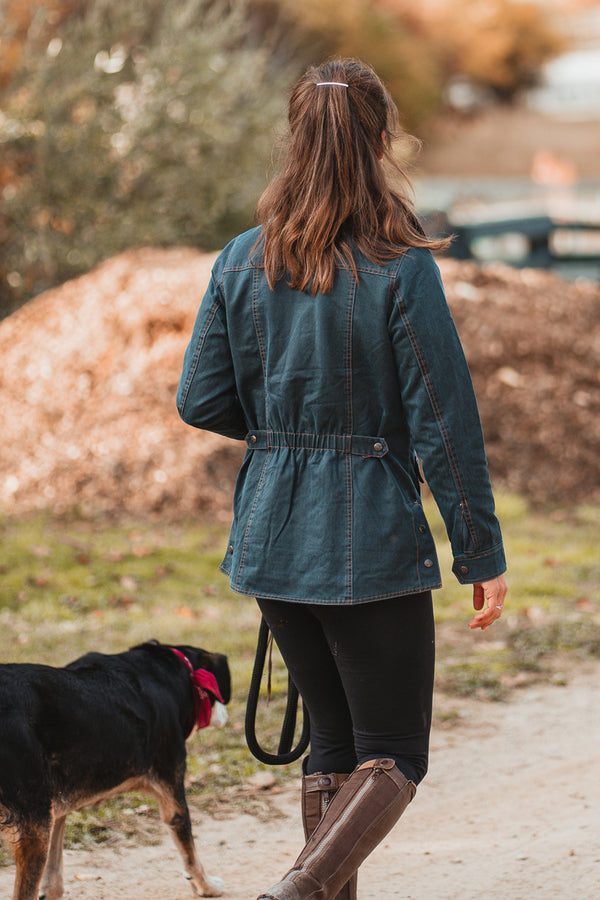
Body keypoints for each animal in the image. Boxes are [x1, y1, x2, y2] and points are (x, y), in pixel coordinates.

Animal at [0, 640, 231, 900]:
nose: (227, 714)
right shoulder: (172, 785)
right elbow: (190, 852)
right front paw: (206, 886)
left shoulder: (57, 802)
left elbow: (55, 862)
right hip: (34, 824)